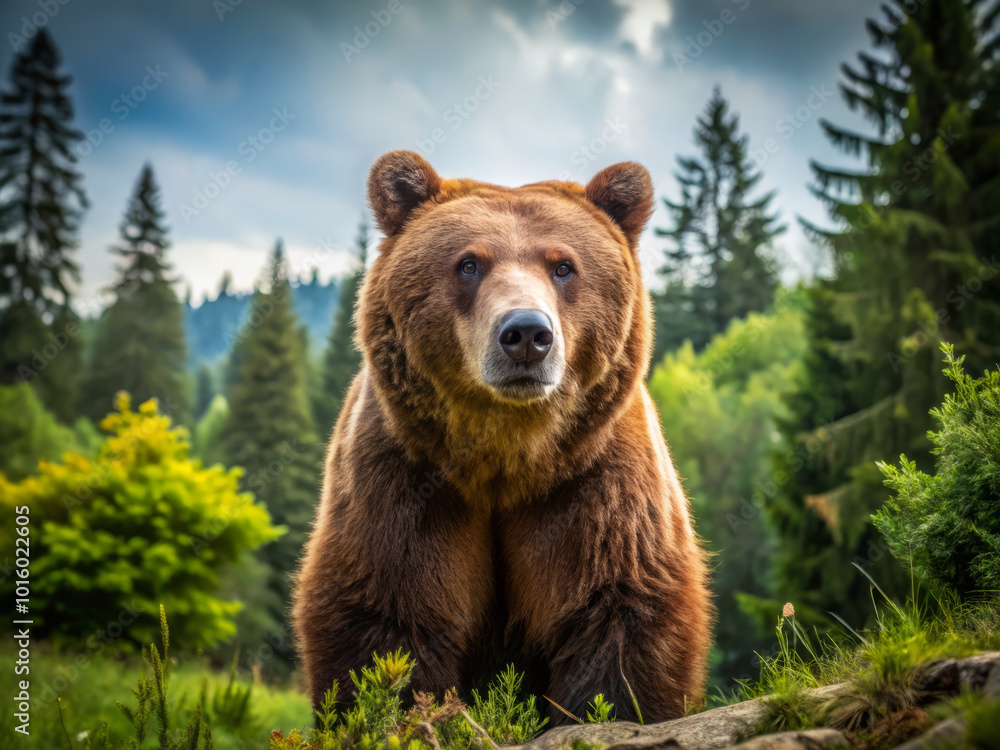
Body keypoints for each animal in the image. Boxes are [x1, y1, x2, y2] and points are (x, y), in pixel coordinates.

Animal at [293, 150, 711, 725]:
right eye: (469, 263)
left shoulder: (597, 482)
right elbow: (390, 615)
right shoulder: (405, 479)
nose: (527, 334)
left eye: (563, 266)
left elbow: (617, 611)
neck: (507, 455)